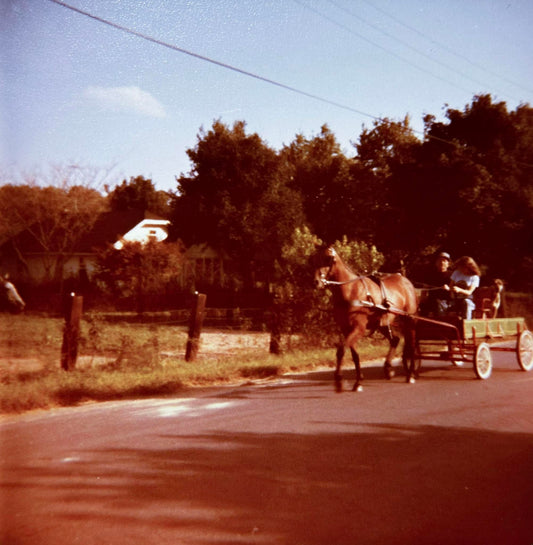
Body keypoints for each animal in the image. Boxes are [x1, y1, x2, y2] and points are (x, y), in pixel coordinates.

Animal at [312, 246, 420, 392]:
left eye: (328, 259)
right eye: (314, 259)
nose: (316, 282)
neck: (350, 290)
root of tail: (406, 281)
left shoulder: (358, 328)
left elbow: (341, 350)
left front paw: (340, 380)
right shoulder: (347, 329)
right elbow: (354, 355)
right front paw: (358, 382)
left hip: (409, 320)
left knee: (412, 344)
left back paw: (411, 374)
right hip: (382, 324)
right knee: (395, 340)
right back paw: (388, 369)